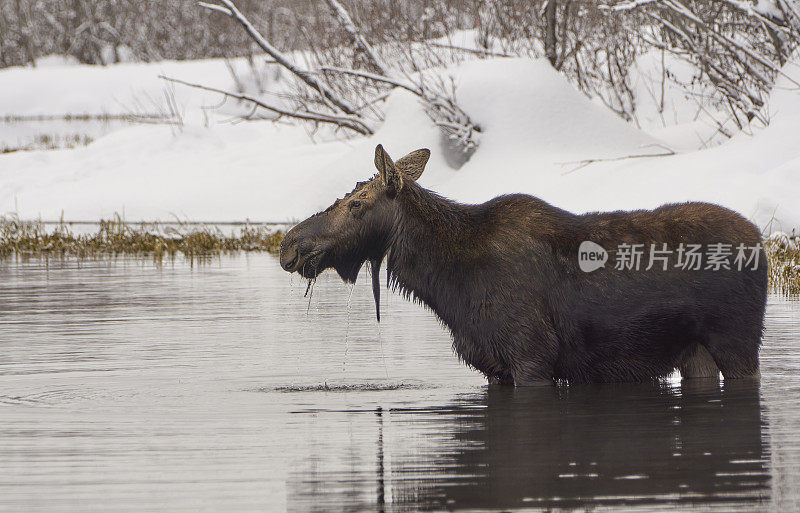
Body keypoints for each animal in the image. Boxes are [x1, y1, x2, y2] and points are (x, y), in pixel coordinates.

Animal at [280, 144, 768, 384]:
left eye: (357, 204)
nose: (289, 246)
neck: (447, 287)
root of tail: (761, 241)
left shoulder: (532, 356)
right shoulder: (493, 366)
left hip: (738, 342)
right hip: (694, 352)